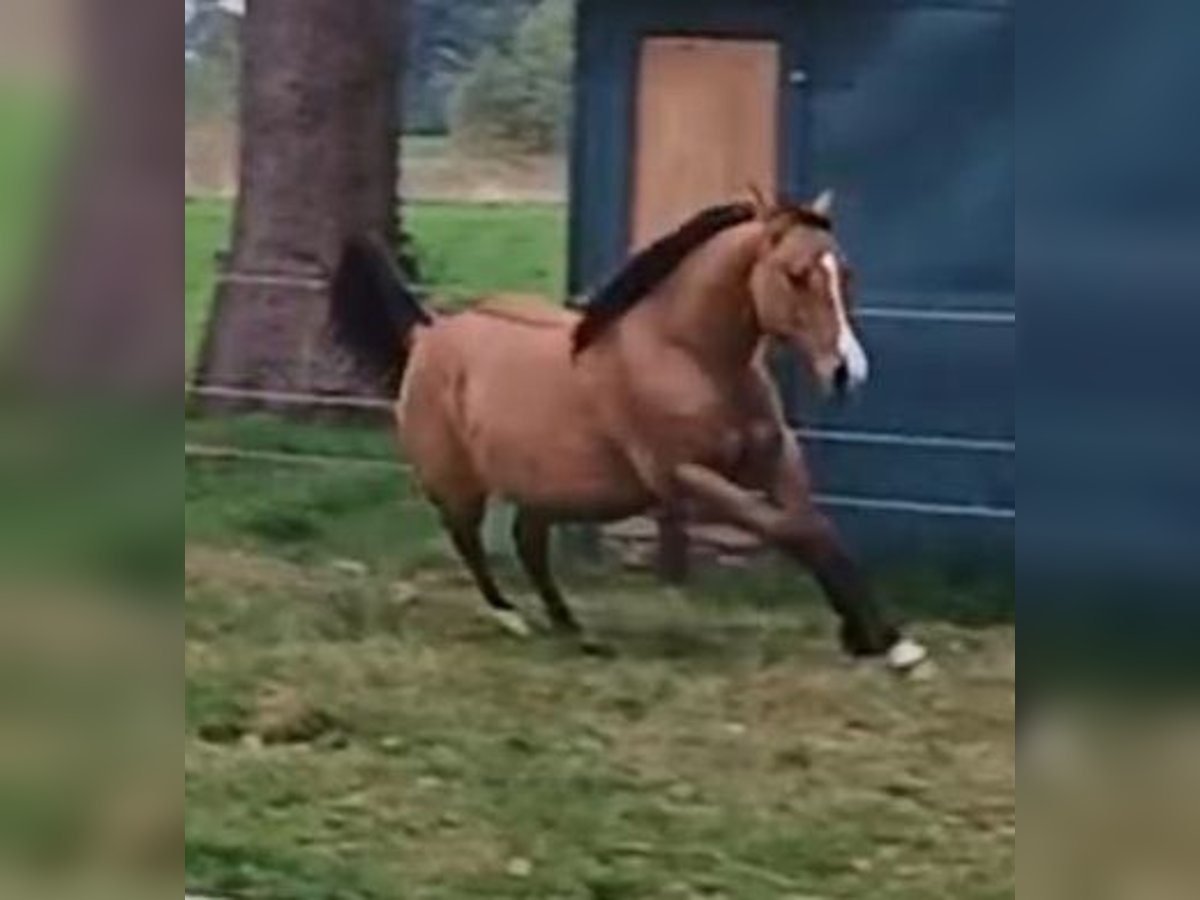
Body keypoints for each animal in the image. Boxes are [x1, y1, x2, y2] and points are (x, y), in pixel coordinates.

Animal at [333, 188, 931, 672]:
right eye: (796, 275)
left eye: (845, 273)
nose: (848, 372)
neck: (689, 355)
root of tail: (427, 333)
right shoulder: (686, 477)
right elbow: (793, 530)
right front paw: (878, 640)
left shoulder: (773, 457)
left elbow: (817, 529)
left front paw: (882, 638)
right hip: (458, 486)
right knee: (469, 542)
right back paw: (512, 618)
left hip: (544, 489)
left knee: (529, 543)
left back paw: (573, 629)